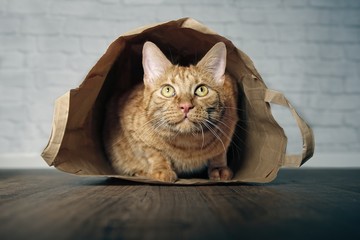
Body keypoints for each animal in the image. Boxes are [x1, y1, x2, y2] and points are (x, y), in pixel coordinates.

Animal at [102, 41, 238, 182]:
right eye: (167, 90)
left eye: (202, 90)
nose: (185, 106)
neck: (187, 144)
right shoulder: (134, 134)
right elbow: (154, 153)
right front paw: (161, 170)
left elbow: (219, 152)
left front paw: (219, 168)